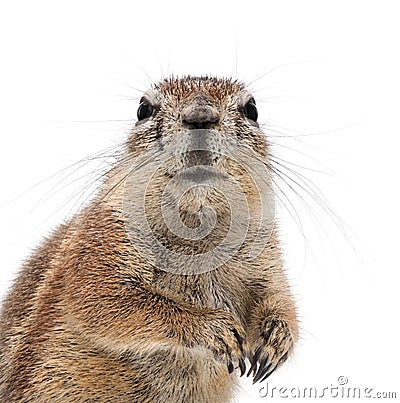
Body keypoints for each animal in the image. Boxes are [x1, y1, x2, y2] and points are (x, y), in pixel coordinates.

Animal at [0, 77, 298, 402]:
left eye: (251, 109)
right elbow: (101, 299)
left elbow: (279, 296)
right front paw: (215, 328)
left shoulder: (265, 253)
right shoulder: (99, 242)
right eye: (144, 110)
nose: (200, 116)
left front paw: (277, 339)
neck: (197, 229)